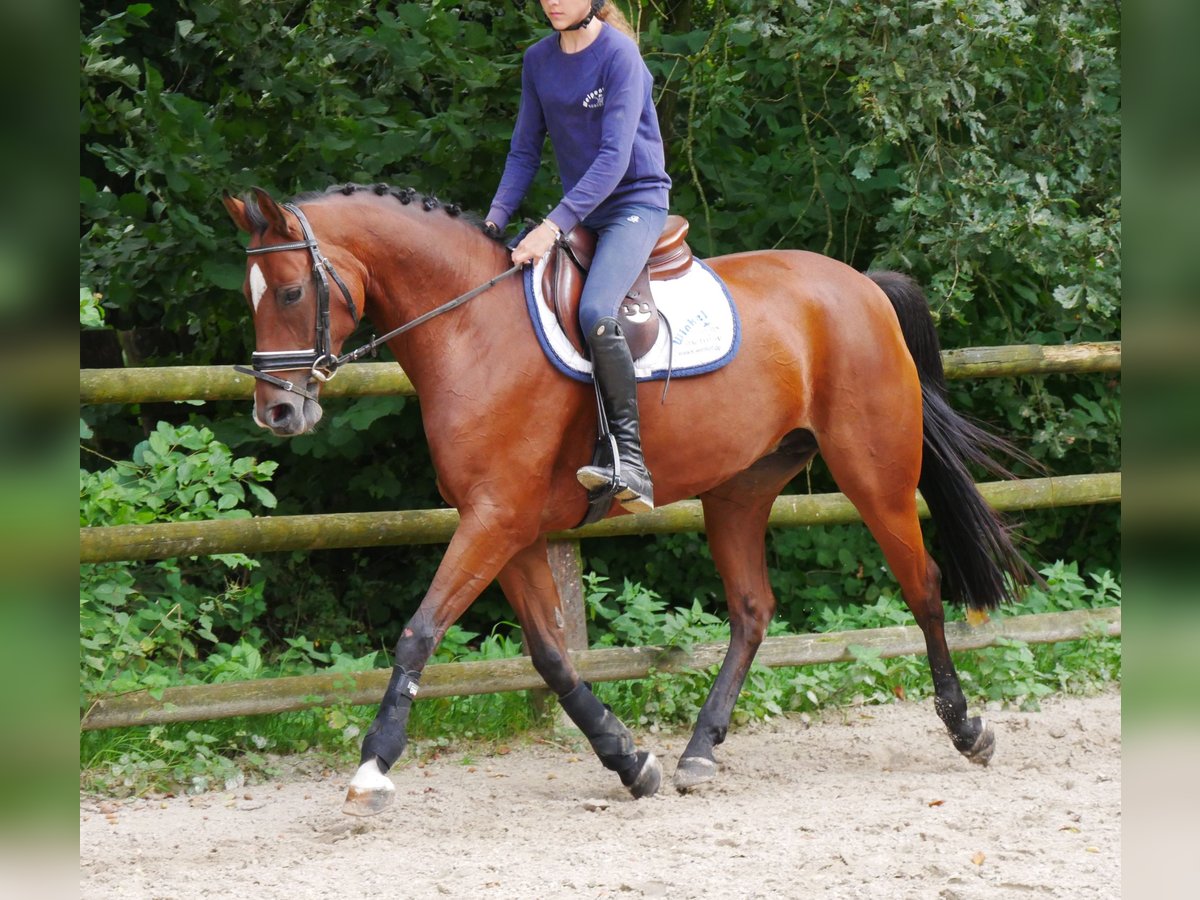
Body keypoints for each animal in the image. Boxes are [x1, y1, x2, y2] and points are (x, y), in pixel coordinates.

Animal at [223, 181, 1032, 816]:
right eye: (251, 297)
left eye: (291, 291)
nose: (278, 413)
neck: (471, 329)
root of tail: (863, 286)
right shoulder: (508, 527)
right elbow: (550, 655)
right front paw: (628, 760)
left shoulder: (495, 520)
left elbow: (421, 632)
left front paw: (372, 767)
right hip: (740, 488)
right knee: (752, 610)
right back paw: (699, 752)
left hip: (874, 473)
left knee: (922, 585)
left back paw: (966, 729)